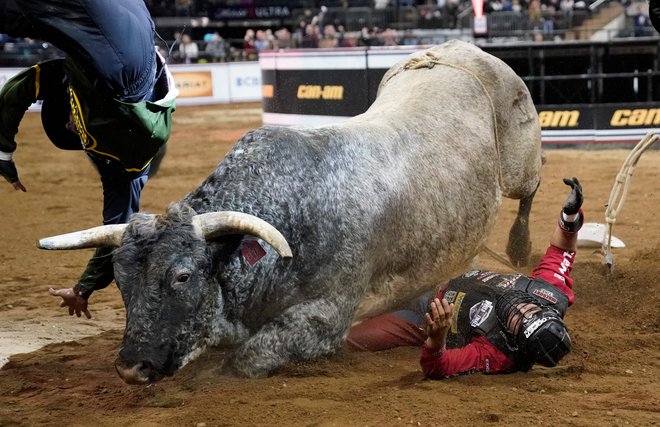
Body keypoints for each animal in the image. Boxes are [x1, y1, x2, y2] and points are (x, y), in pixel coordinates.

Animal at [41, 41, 544, 384]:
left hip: (521, 159)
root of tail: (458, 49)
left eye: (182, 276)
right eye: (121, 280)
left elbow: (245, 360)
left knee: (530, 191)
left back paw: (521, 246)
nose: (132, 368)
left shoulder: (328, 318)